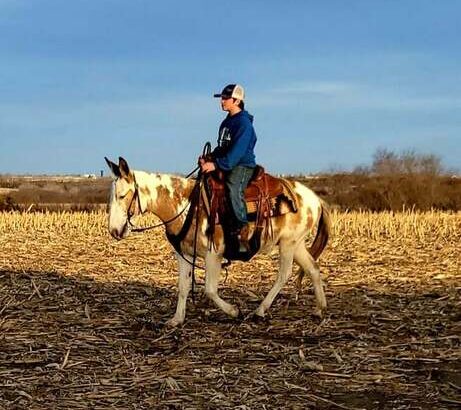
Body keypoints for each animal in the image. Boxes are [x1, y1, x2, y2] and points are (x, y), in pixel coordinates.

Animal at [104, 157, 328, 326]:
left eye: (122, 195)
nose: (114, 231)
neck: (187, 205)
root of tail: (315, 199)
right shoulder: (183, 254)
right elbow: (183, 286)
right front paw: (177, 320)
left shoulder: (214, 254)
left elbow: (210, 290)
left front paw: (234, 311)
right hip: (296, 244)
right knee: (313, 268)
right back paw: (319, 309)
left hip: (288, 244)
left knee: (284, 274)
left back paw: (259, 310)